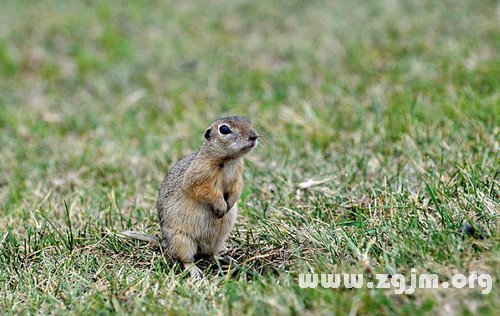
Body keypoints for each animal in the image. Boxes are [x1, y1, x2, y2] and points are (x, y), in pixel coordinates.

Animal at [123, 116, 260, 276]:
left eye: (248, 121)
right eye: (224, 129)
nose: (254, 136)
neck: (228, 161)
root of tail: (165, 242)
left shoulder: (237, 177)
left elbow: (236, 189)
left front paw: (229, 204)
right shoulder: (198, 178)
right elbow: (205, 191)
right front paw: (221, 207)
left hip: (219, 240)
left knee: (210, 255)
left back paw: (225, 259)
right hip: (183, 241)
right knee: (186, 259)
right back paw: (195, 271)